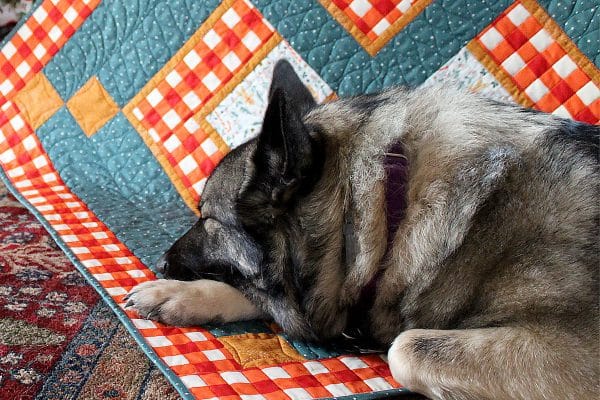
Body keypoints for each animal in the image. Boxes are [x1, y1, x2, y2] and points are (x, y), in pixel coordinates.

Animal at [125, 60, 596, 400]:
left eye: (208, 219)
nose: (159, 262)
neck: (392, 214)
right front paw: (179, 294)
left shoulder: (570, 349)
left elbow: (405, 349)